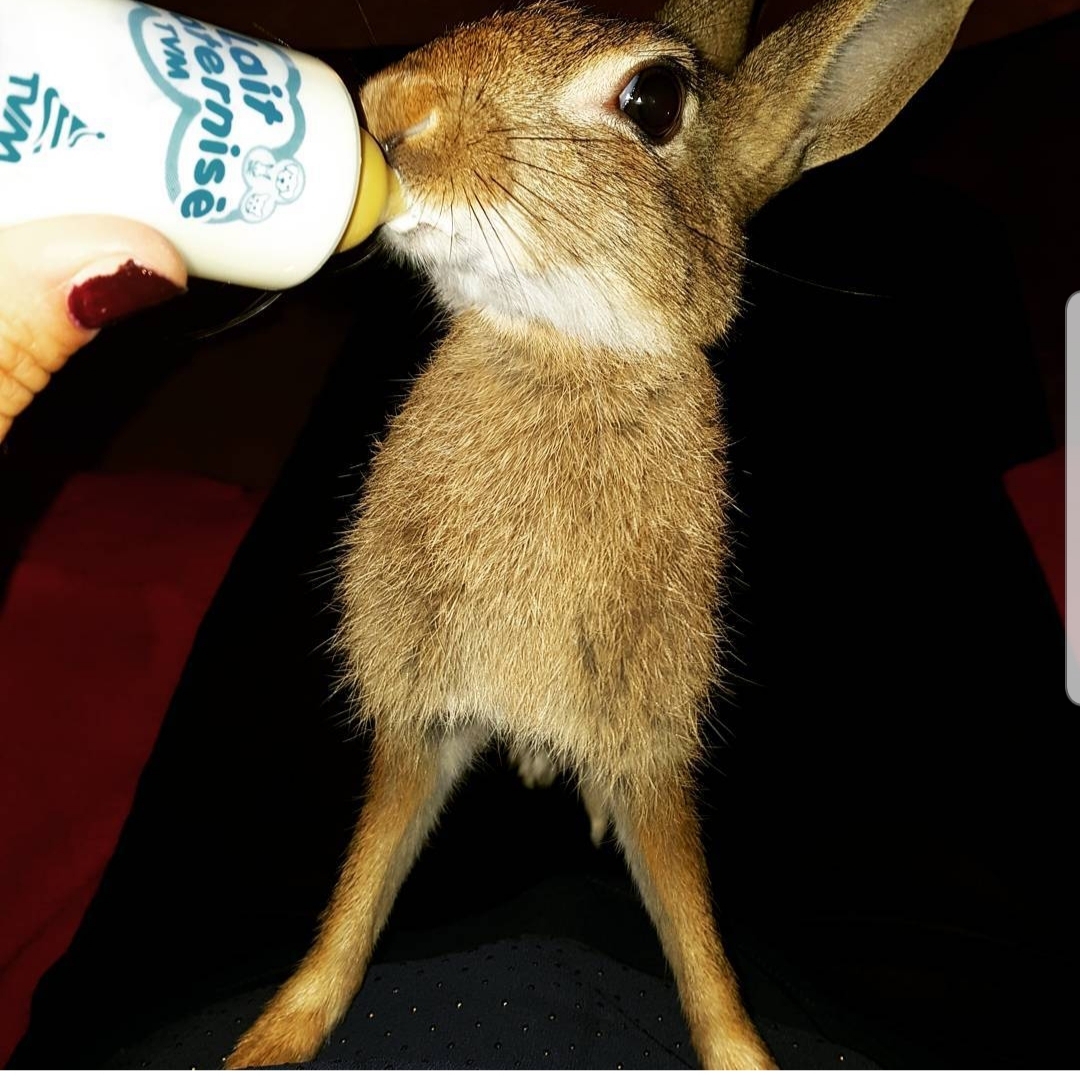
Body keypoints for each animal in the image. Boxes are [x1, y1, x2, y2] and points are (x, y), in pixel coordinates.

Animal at [225, 0, 973, 1069]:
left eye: (654, 99)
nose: (393, 111)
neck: (564, 348)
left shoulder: (648, 740)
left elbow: (697, 937)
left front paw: (746, 1057)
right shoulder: (420, 712)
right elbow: (360, 888)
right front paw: (268, 1042)